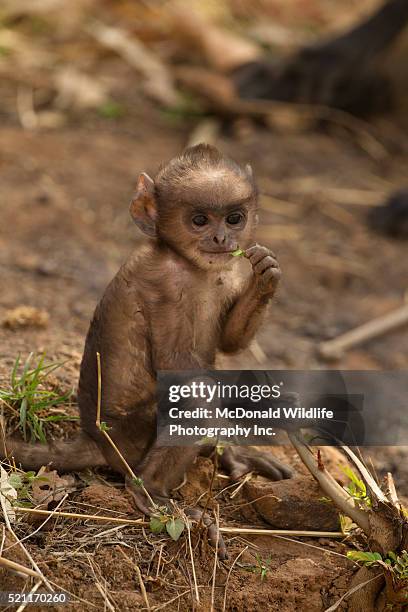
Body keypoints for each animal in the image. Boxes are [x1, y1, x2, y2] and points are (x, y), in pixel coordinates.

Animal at [3, 146, 290, 556]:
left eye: (235, 218)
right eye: (199, 220)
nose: (221, 237)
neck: (193, 266)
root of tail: (95, 440)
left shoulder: (231, 270)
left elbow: (229, 343)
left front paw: (266, 276)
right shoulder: (165, 284)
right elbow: (181, 370)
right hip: (131, 437)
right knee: (198, 401)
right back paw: (151, 491)